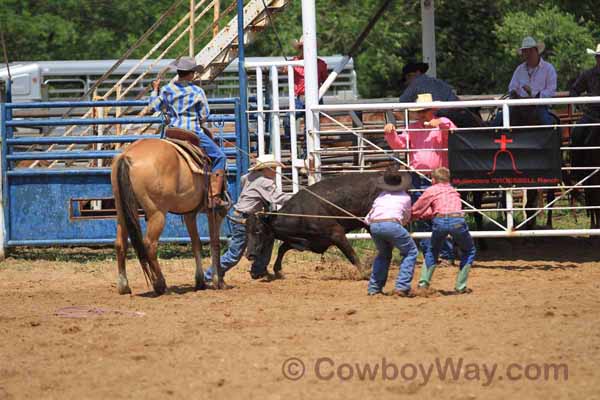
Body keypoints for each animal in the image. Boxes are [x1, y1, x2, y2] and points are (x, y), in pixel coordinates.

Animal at [110, 130, 227, 294]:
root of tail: (127, 156)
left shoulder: (189, 213)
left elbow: (196, 243)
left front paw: (200, 281)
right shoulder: (213, 212)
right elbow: (214, 242)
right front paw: (218, 281)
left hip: (122, 211)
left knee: (120, 243)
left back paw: (124, 285)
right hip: (157, 213)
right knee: (150, 245)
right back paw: (160, 284)